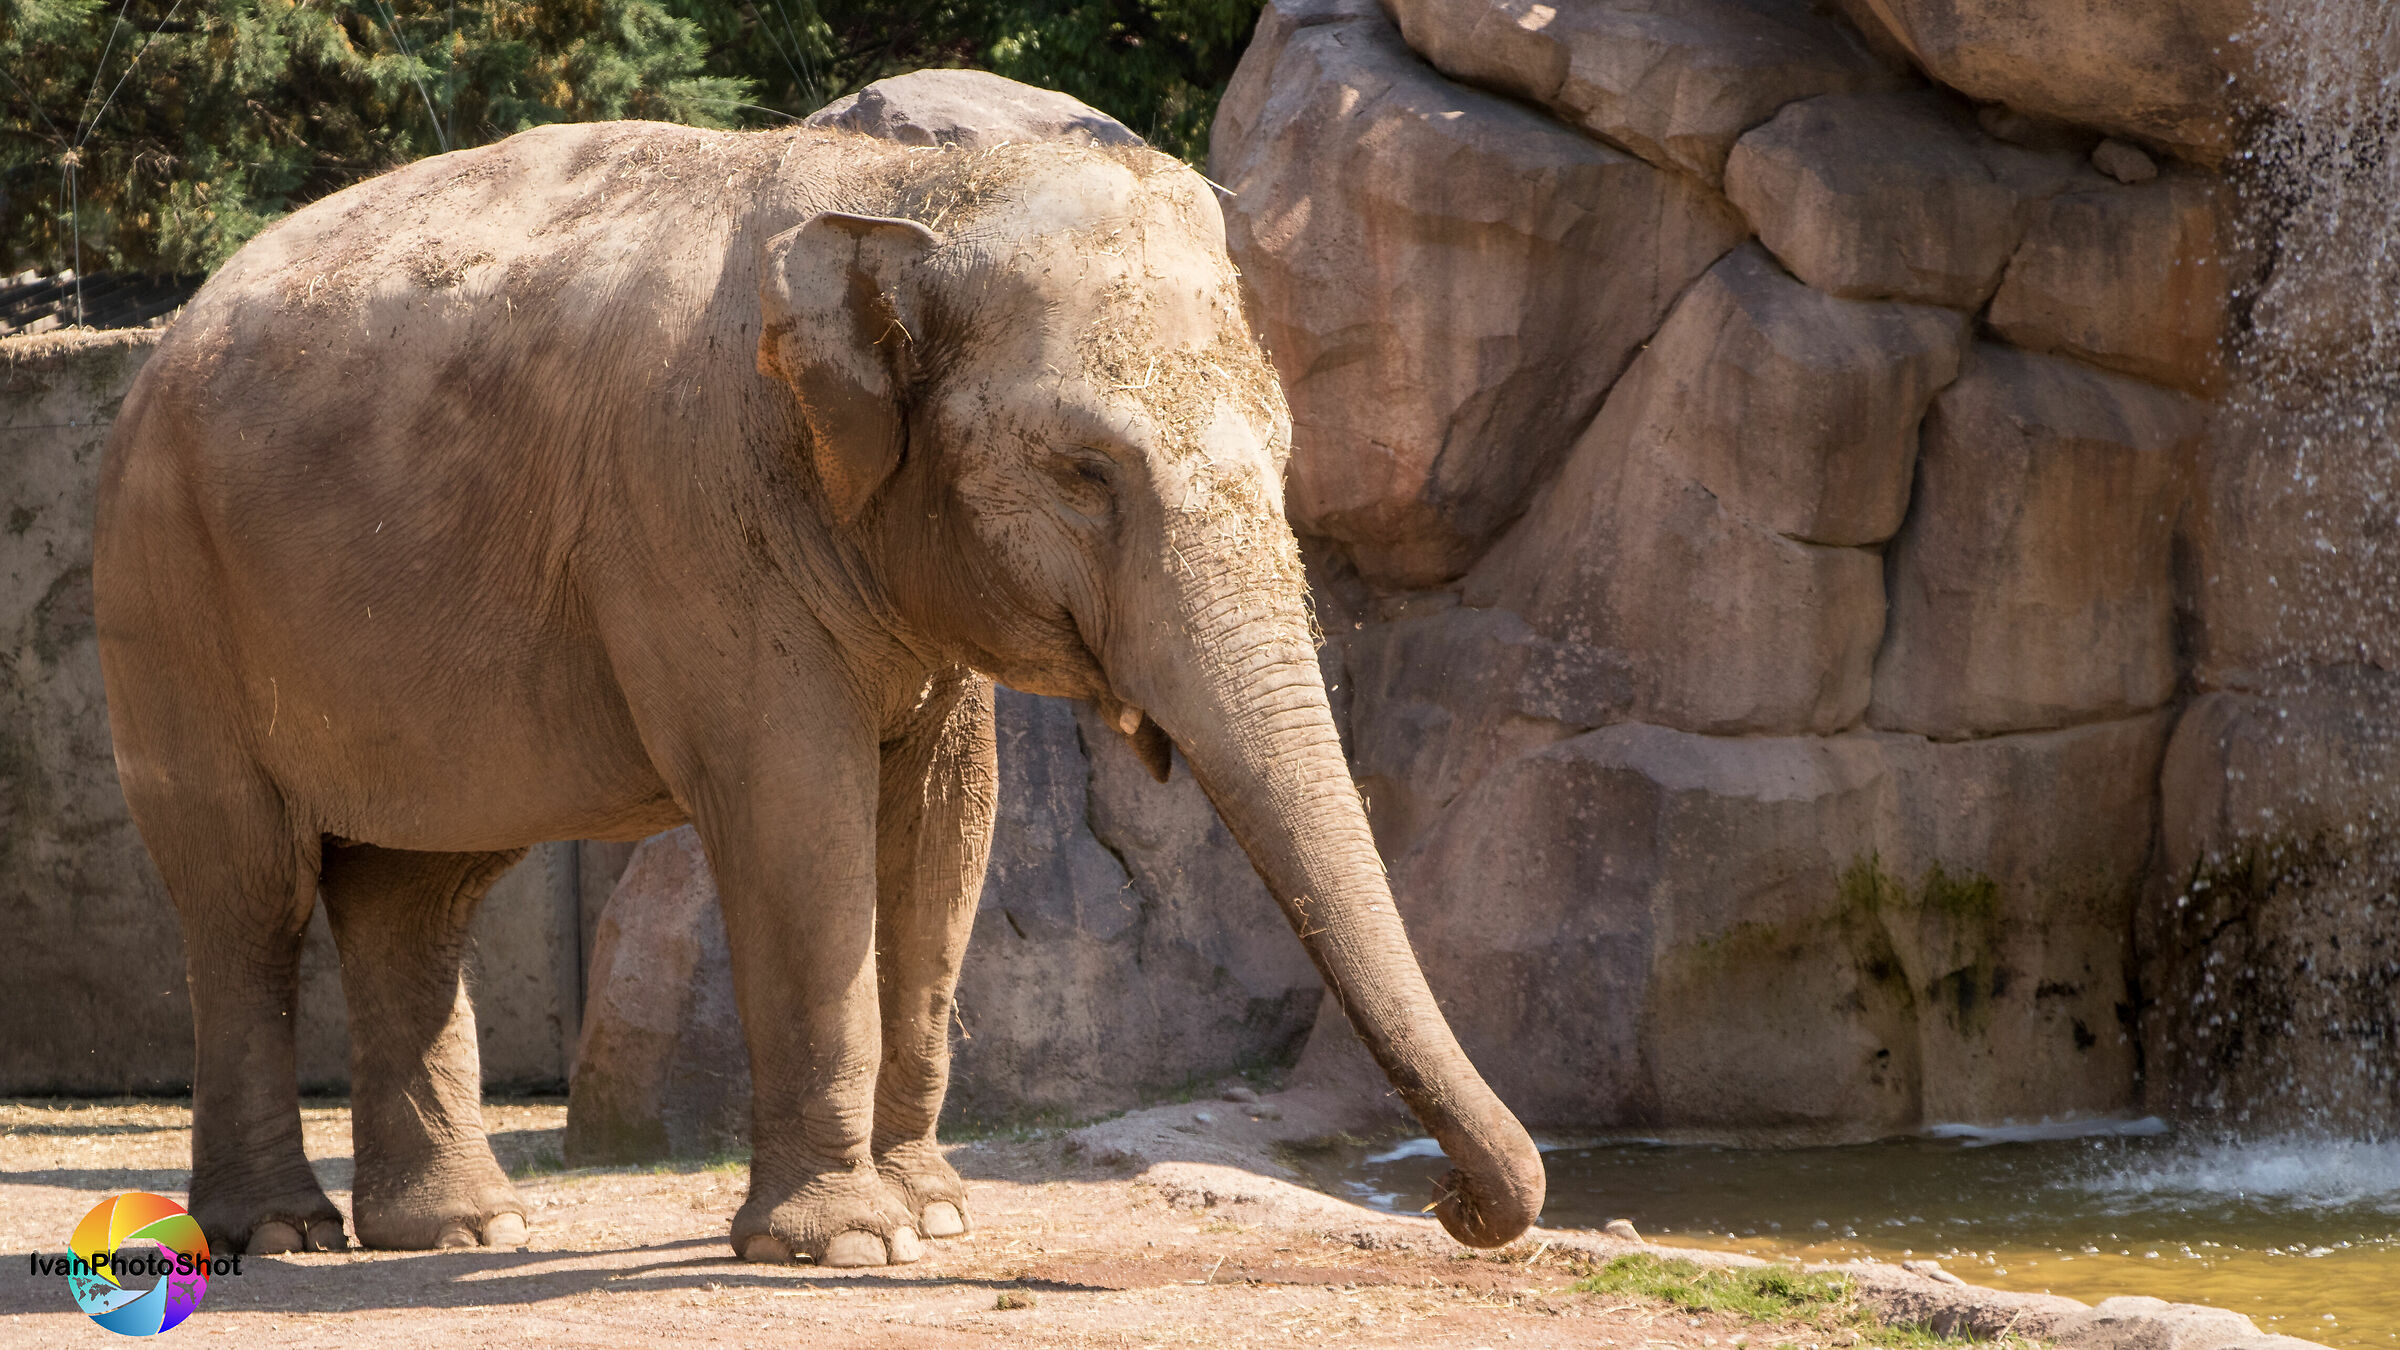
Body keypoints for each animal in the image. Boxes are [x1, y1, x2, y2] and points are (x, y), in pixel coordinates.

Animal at [93, 118, 1544, 1267]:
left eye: (1285, 452)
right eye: (1083, 472)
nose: (1458, 1207)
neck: (902, 191)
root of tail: (162, 339)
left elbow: (946, 828)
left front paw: (934, 1212)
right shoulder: (692, 506)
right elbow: (798, 811)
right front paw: (851, 1241)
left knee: (418, 887)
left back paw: (465, 1230)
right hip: (165, 594)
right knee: (249, 893)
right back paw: (282, 1234)